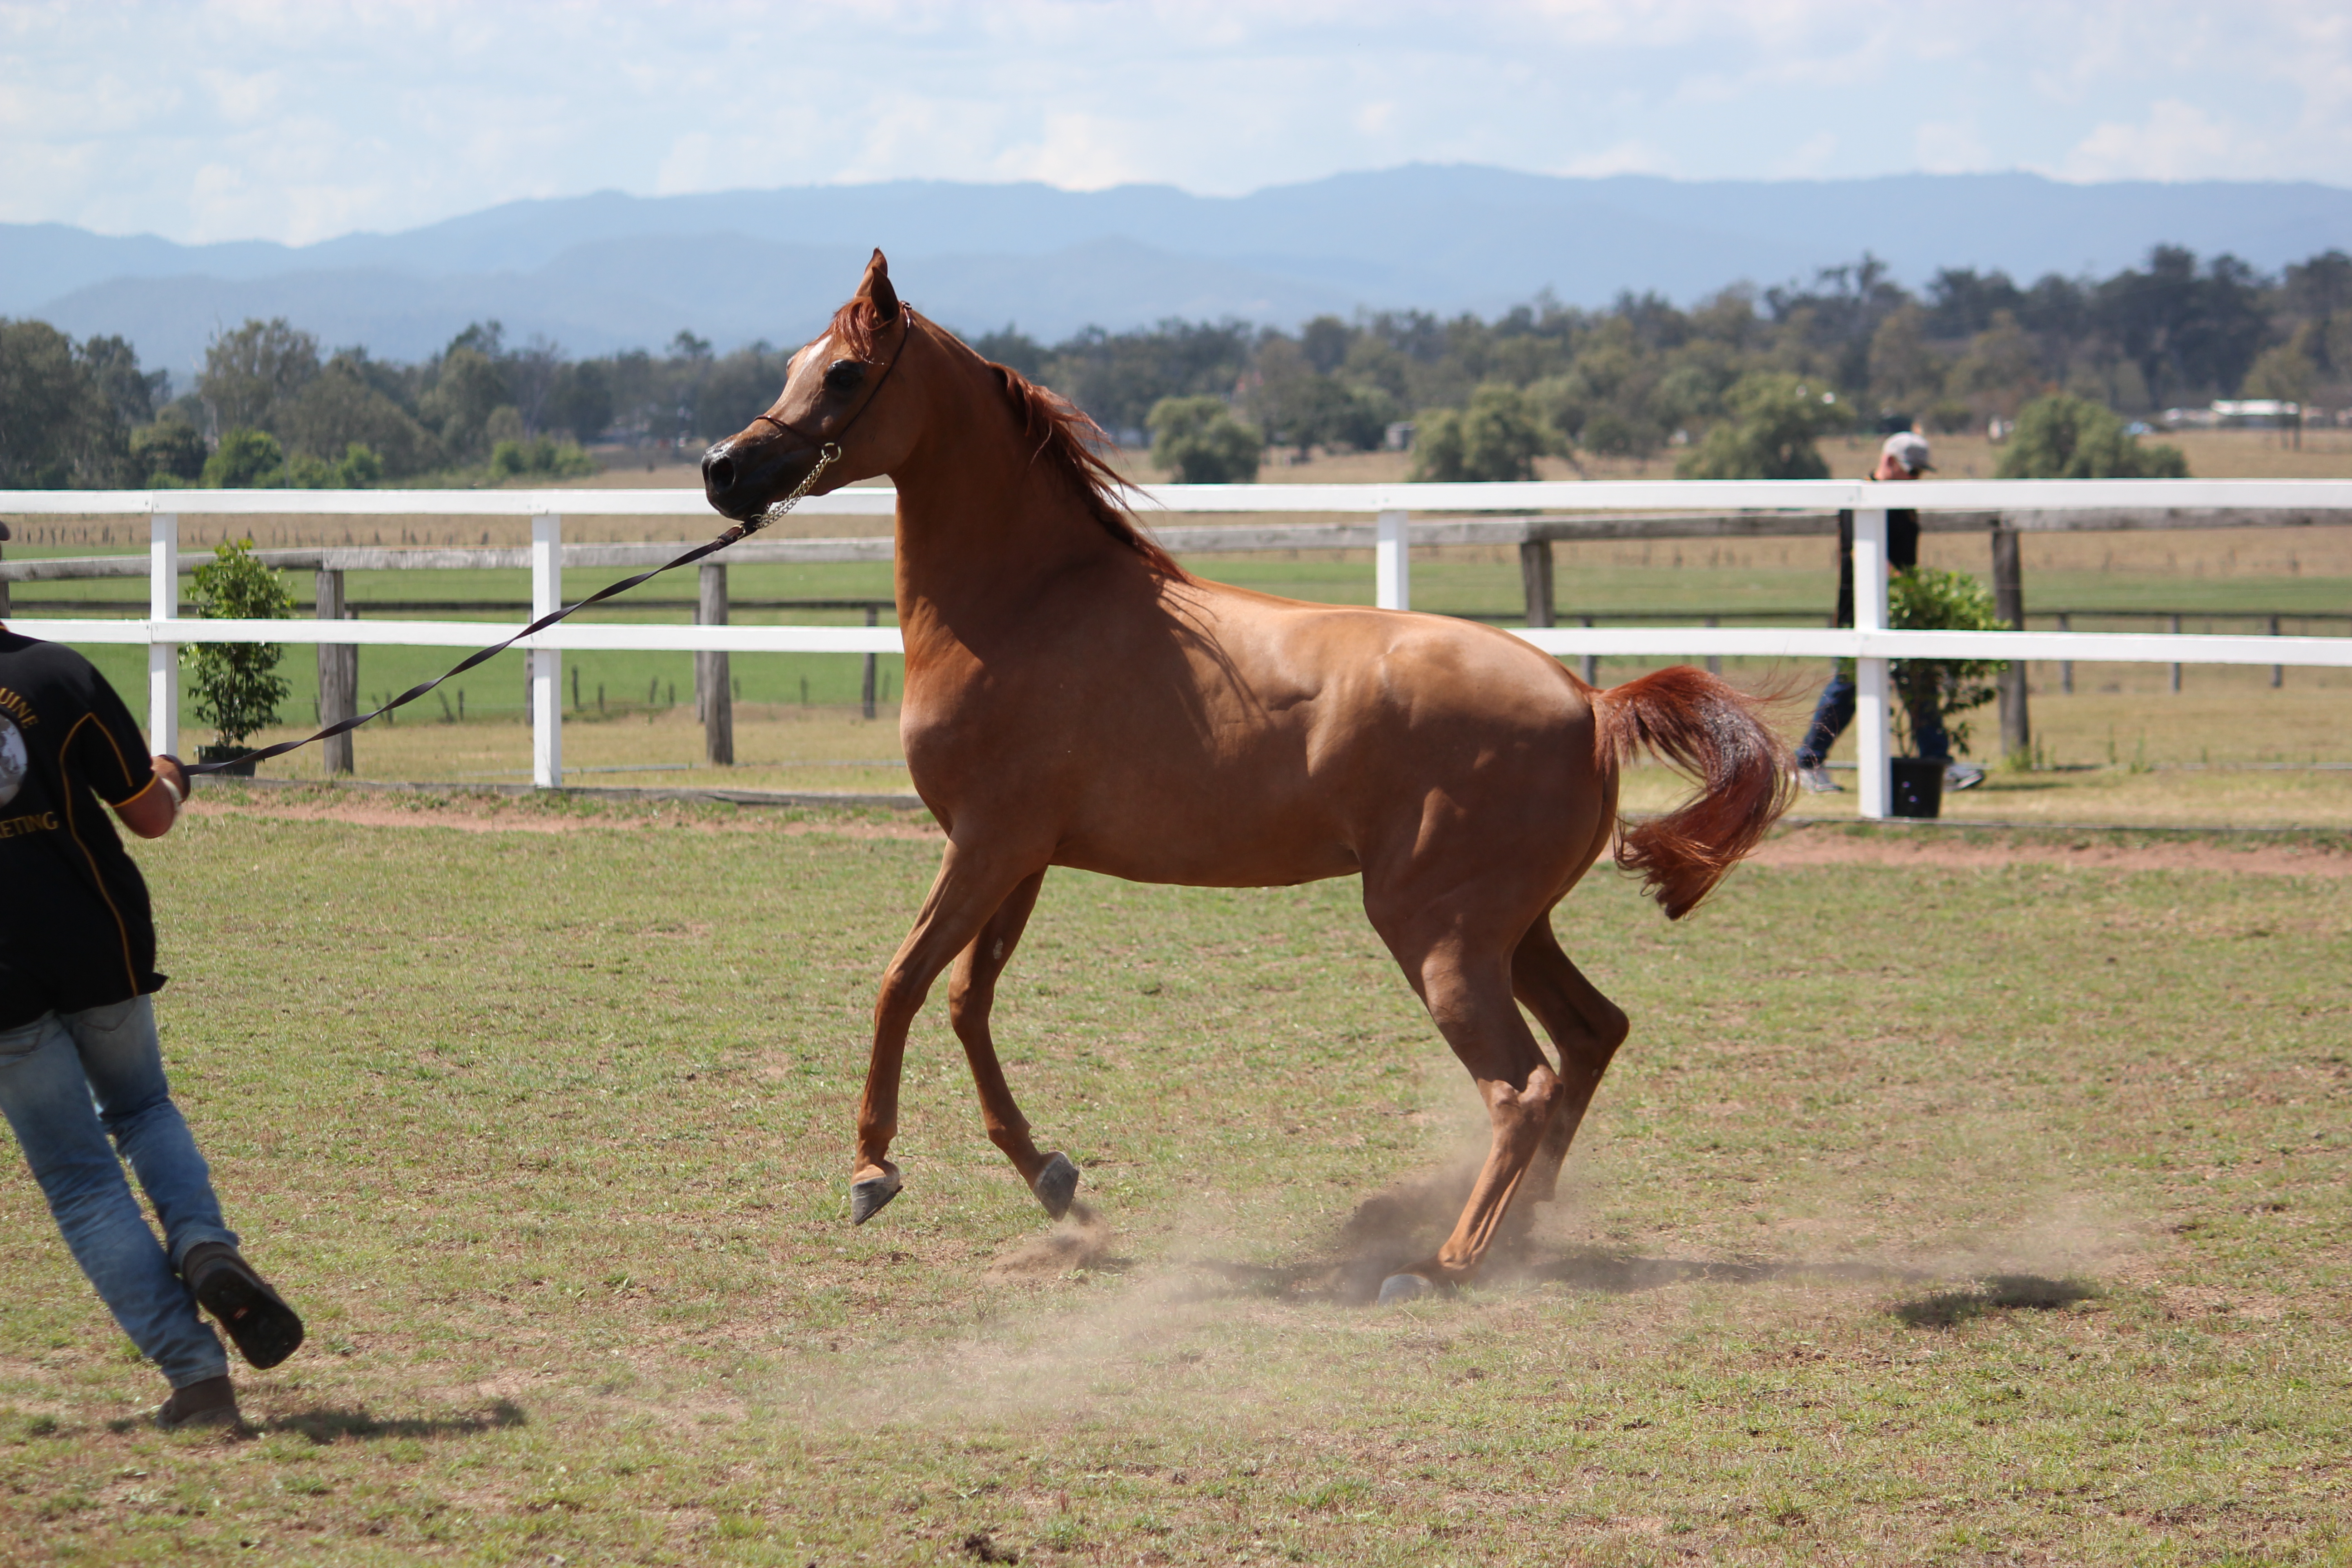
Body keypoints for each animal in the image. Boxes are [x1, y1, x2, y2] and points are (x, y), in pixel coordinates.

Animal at [706, 251, 1787, 1298]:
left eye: (844, 373)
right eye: (796, 361)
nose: (723, 471)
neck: (1026, 605)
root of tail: (1587, 703)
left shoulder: (983, 845)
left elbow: (902, 982)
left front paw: (872, 1170)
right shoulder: (1021, 858)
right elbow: (970, 1001)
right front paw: (1055, 1183)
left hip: (1440, 937)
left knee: (1522, 1088)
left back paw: (1443, 1264)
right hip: (1513, 931)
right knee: (1592, 1034)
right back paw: (1516, 1235)